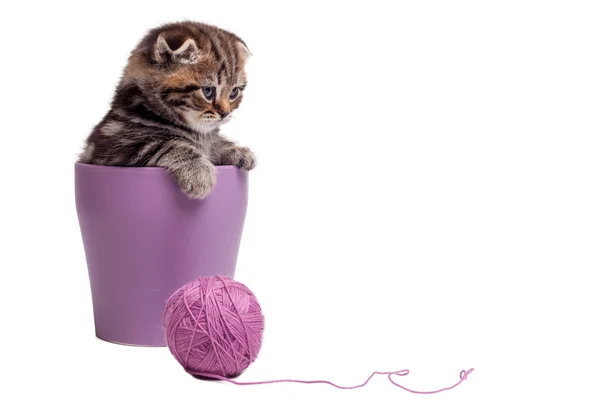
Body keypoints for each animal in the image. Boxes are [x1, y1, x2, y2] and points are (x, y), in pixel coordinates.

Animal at [78, 21, 255, 199]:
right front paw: (198, 172)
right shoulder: (116, 148)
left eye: (234, 93)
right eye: (208, 91)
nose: (225, 113)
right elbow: (166, 144)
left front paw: (235, 150)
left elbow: (212, 145)